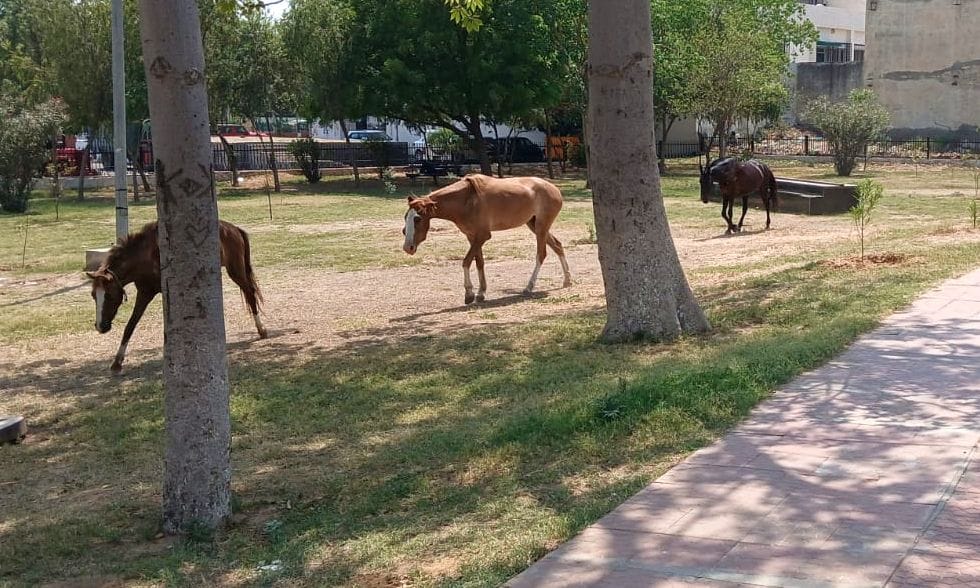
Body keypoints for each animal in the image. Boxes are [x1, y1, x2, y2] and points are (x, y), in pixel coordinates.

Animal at [85, 220, 267, 372]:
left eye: (109, 296)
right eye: (93, 295)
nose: (101, 326)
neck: (146, 255)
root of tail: (233, 228)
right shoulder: (145, 293)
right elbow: (130, 325)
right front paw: (117, 362)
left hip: (236, 271)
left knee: (250, 294)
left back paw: (261, 330)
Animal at [402, 174, 572, 305]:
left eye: (417, 219)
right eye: (406, 217)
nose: (407, 247)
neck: (466, 199)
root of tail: (554, 189)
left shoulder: (483, 236)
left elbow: (466, 262)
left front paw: (469, 294)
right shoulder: (472, 237)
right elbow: (479, 263)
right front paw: (481, 293)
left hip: (541, 227)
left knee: (541, 254)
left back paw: (529, 287)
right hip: (535, 225)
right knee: (558, 246)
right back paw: (567, 280)